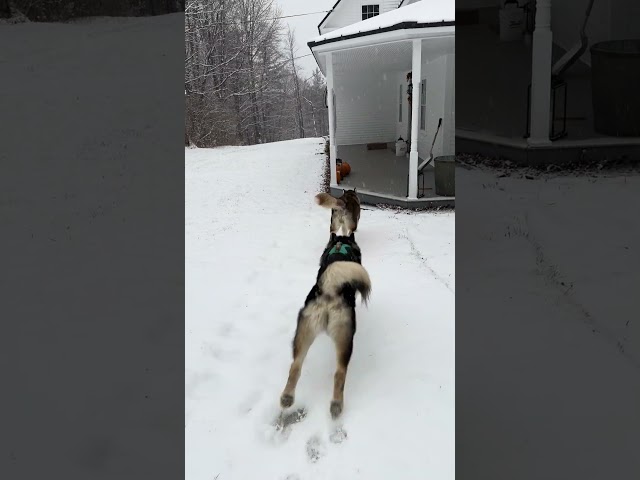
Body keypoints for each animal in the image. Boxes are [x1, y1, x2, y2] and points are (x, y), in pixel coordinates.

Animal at [278, 231, 370, 418]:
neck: (341, 243)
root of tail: (330, 289)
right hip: (346, 337)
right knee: (340, 373)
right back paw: (336, 405)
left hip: (304, 332)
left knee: (295, 366)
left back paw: (287, 398)